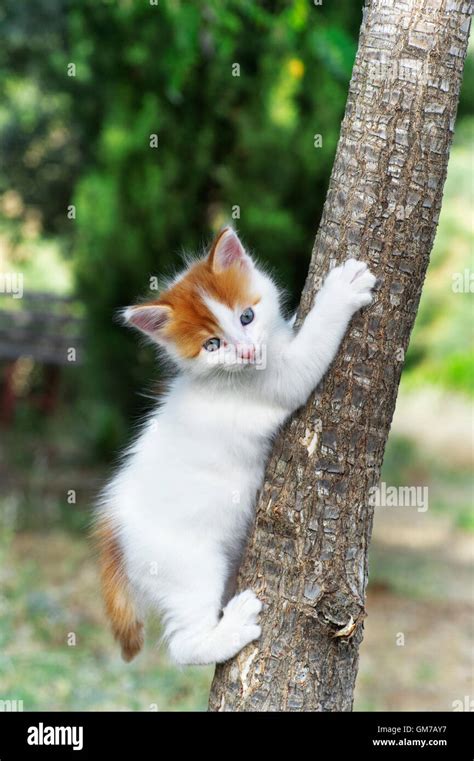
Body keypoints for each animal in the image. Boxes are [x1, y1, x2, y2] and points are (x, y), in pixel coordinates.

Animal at [94, 227, 376, 664]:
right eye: (212, 345)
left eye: (247, 316)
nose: (246, 350)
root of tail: (115, 536)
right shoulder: (282, 381)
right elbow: (313, 345)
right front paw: (342, 290)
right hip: (189, 567)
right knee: (183, 645)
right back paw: (234, 626)